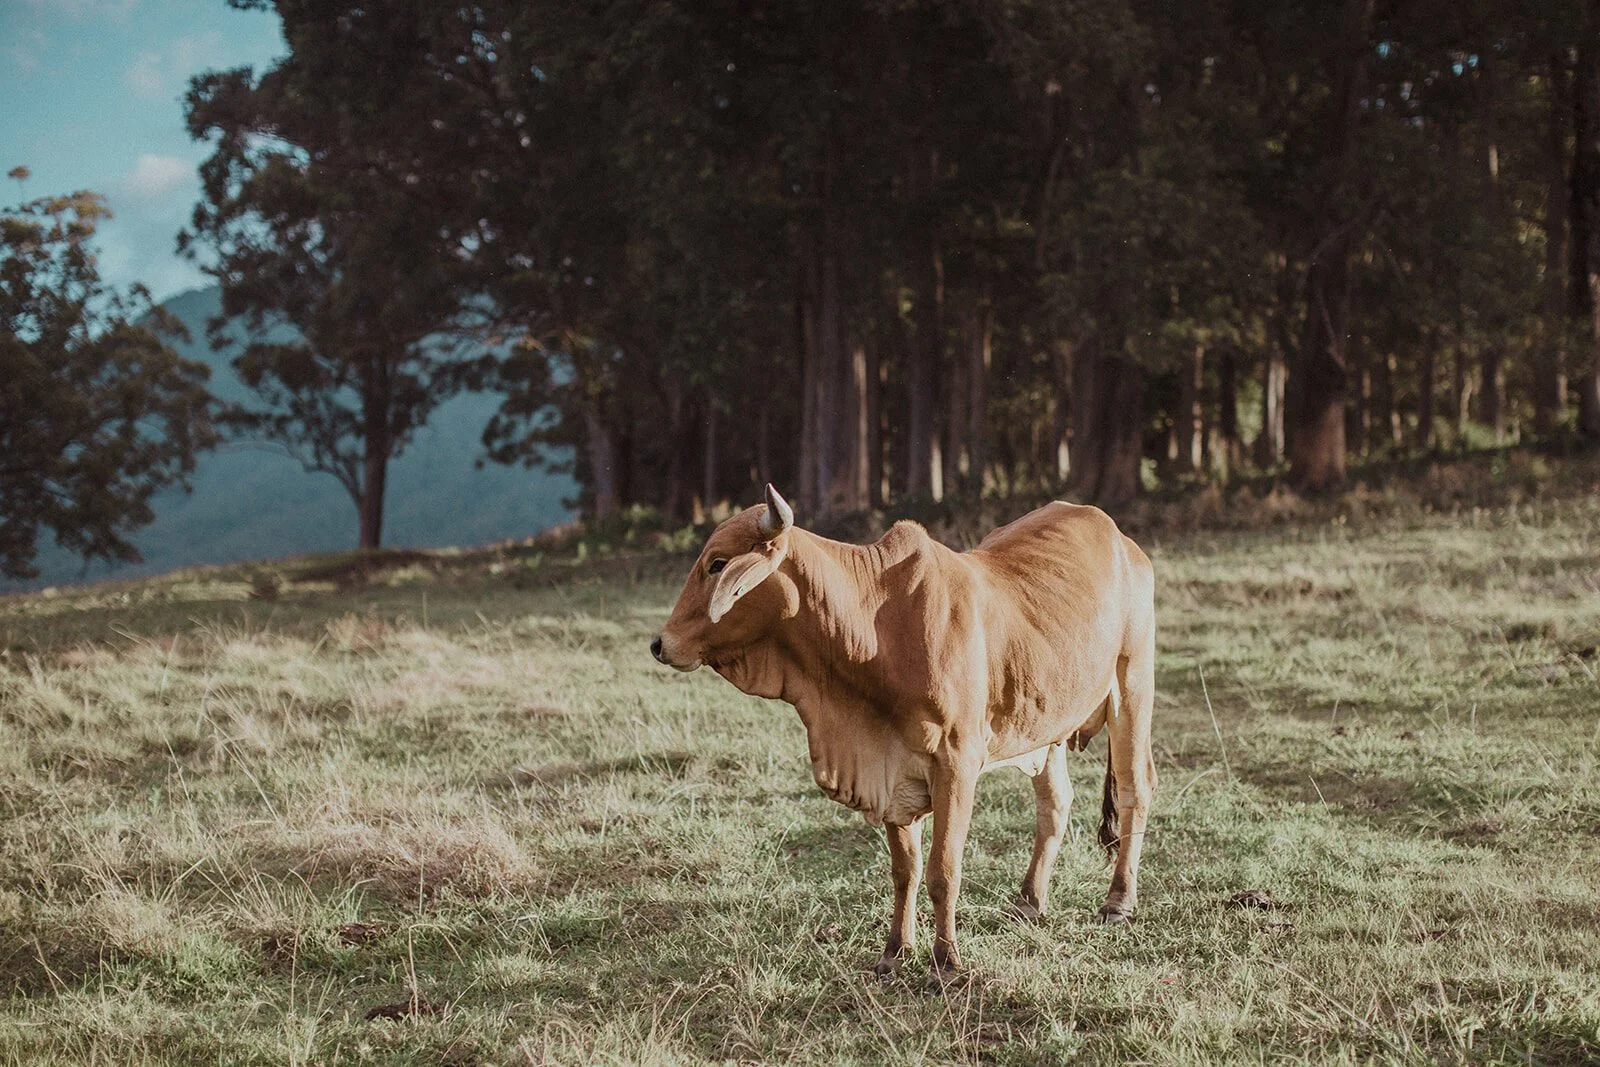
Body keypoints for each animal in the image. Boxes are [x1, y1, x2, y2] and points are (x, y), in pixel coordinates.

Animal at [650, 483, 1156, 977]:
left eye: (717, 564)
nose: (659, 643)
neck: (877, 630)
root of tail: (1121, 539)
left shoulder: (957, 765)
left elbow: (942, 871)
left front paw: (945, 961)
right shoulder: (891, 770)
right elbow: (905, 871)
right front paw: (895, 952)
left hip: (1131, 689)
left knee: (1135, 789)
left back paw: (1118, 901)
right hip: (1046, 728)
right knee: (1055, 805)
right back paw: (1028, 902)